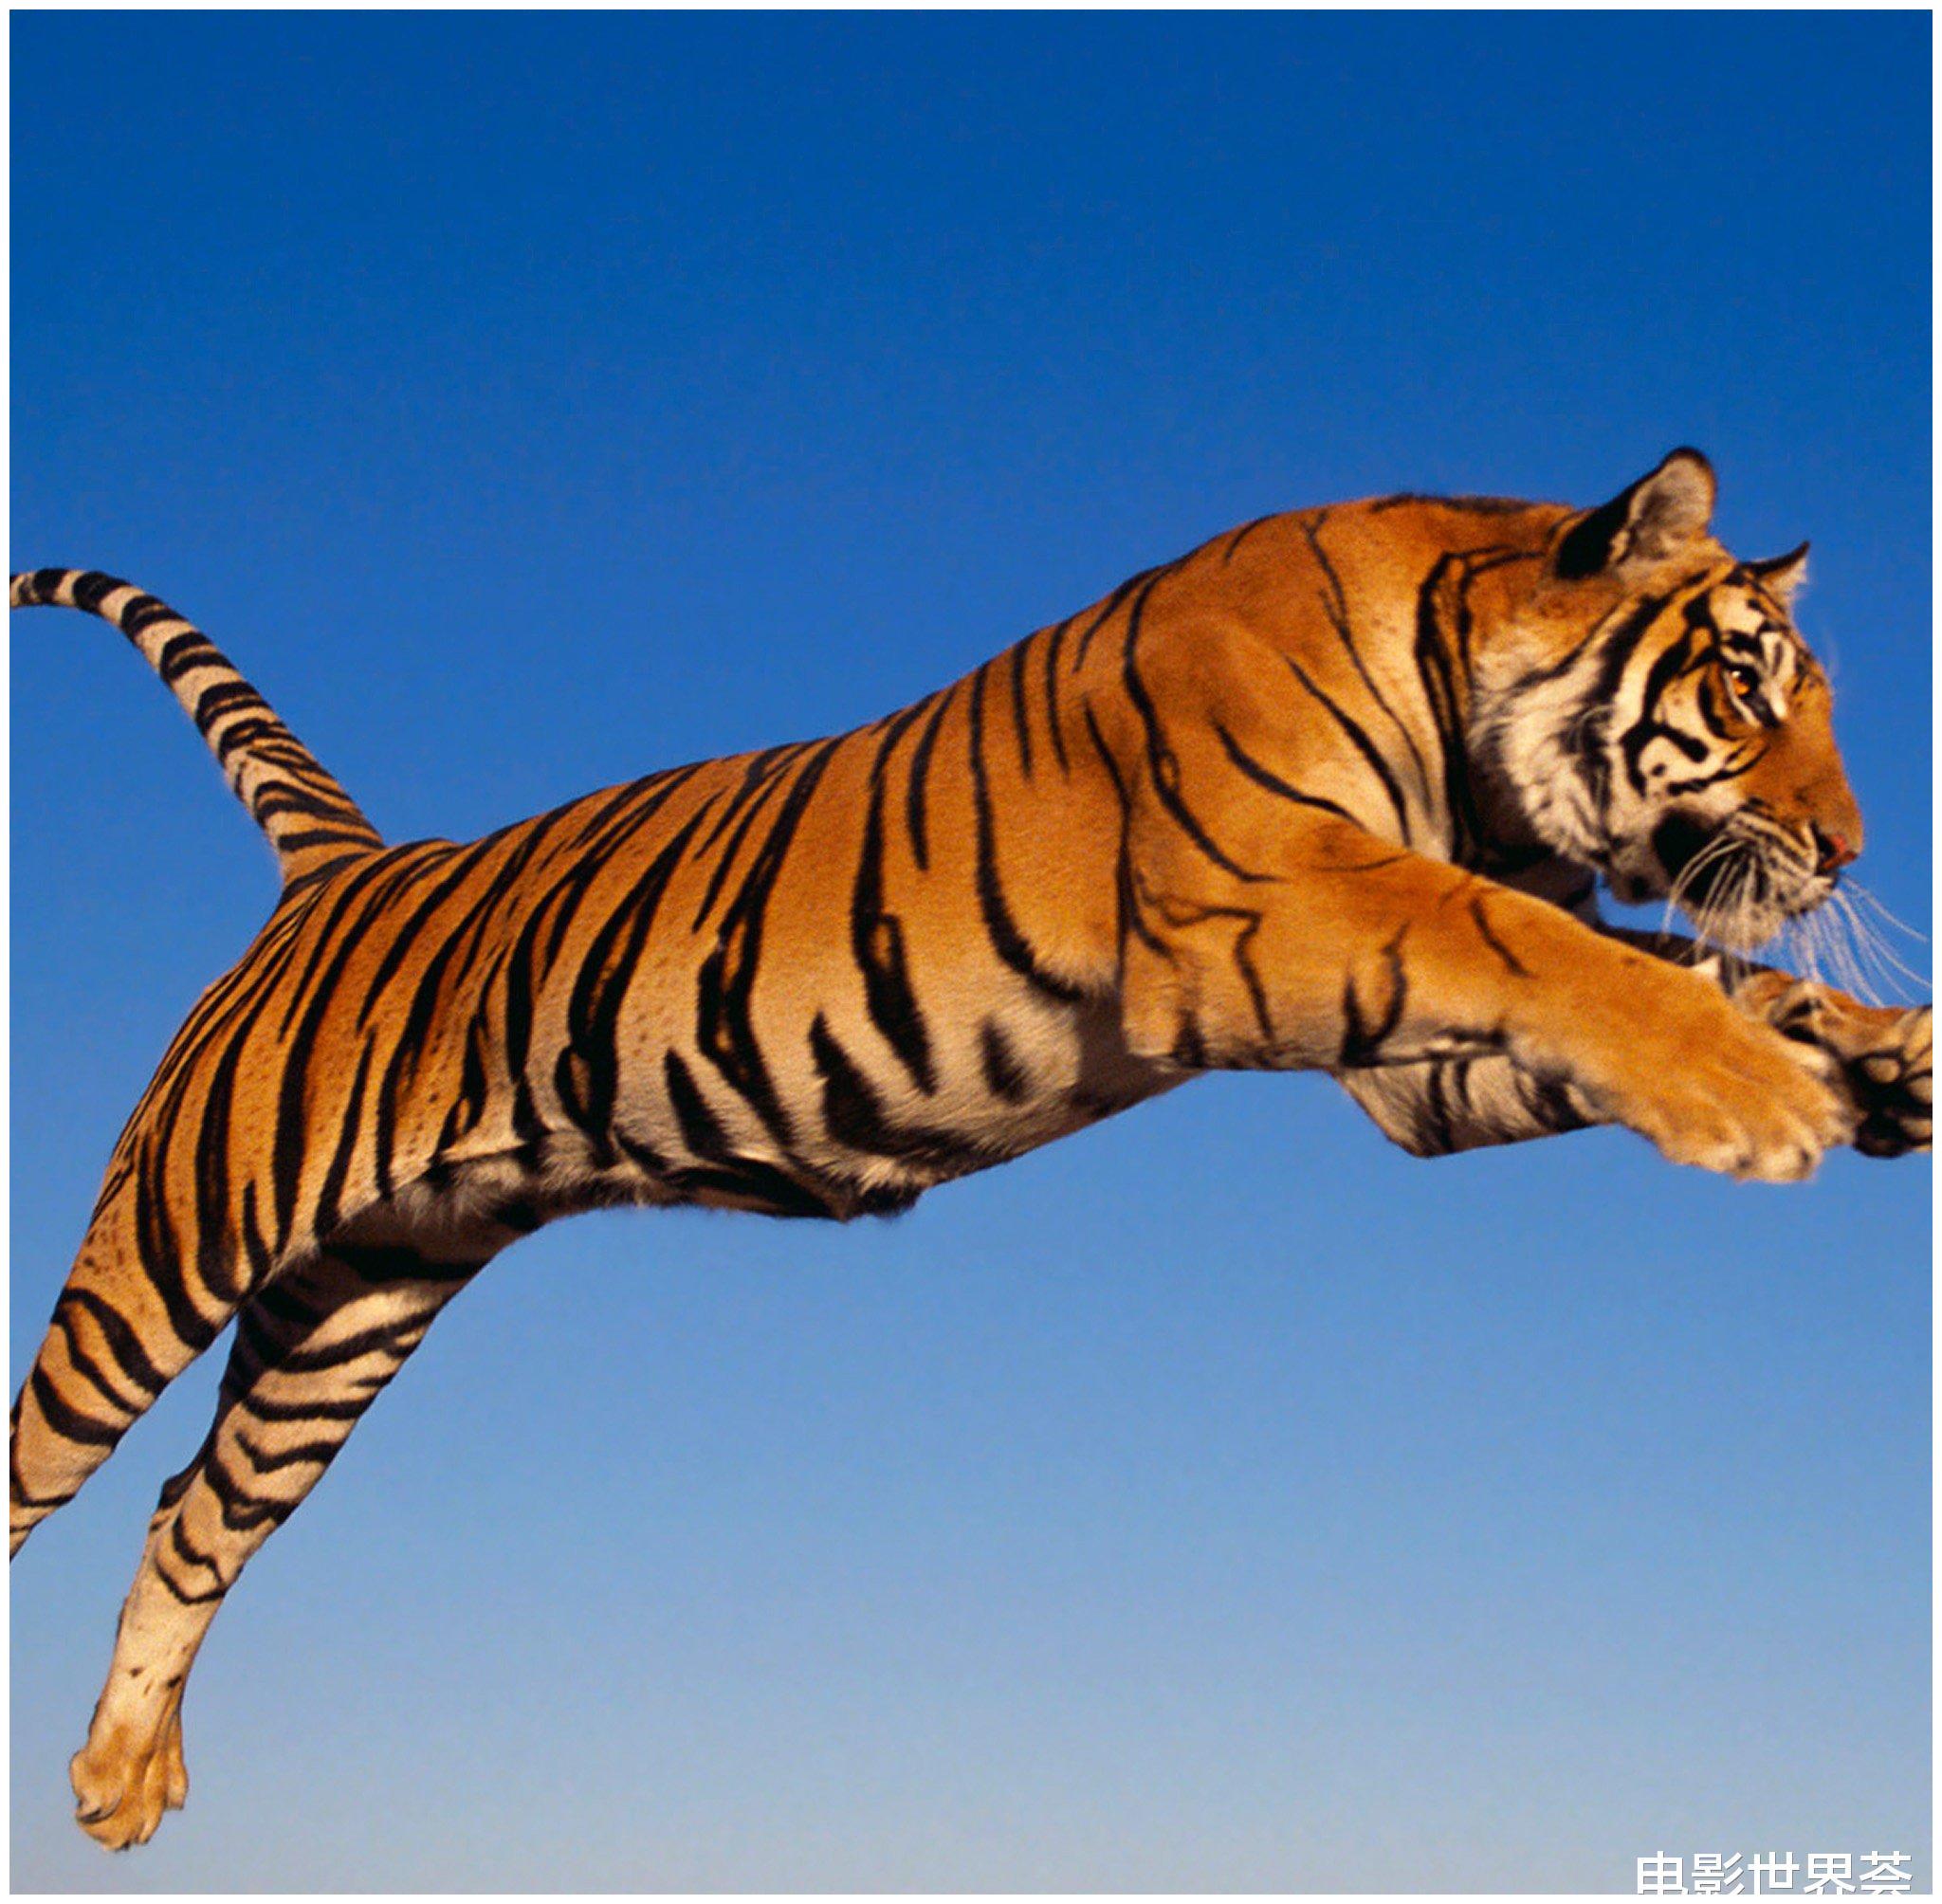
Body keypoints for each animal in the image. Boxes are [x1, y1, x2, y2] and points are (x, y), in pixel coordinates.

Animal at [10, 448, 1930, 1849]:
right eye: (1748, 692)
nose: (1845, 849)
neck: (1465, 727)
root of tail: (343, 864)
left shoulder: (1407, 1071)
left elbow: (1683, 963)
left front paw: (1878, 1055)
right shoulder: (1284, 907)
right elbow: (1568, 950)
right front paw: (1764, 1097)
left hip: (351, 1307)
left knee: (194, 1510)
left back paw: (116, 1787)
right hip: (167, 1251)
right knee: (55, 1460)